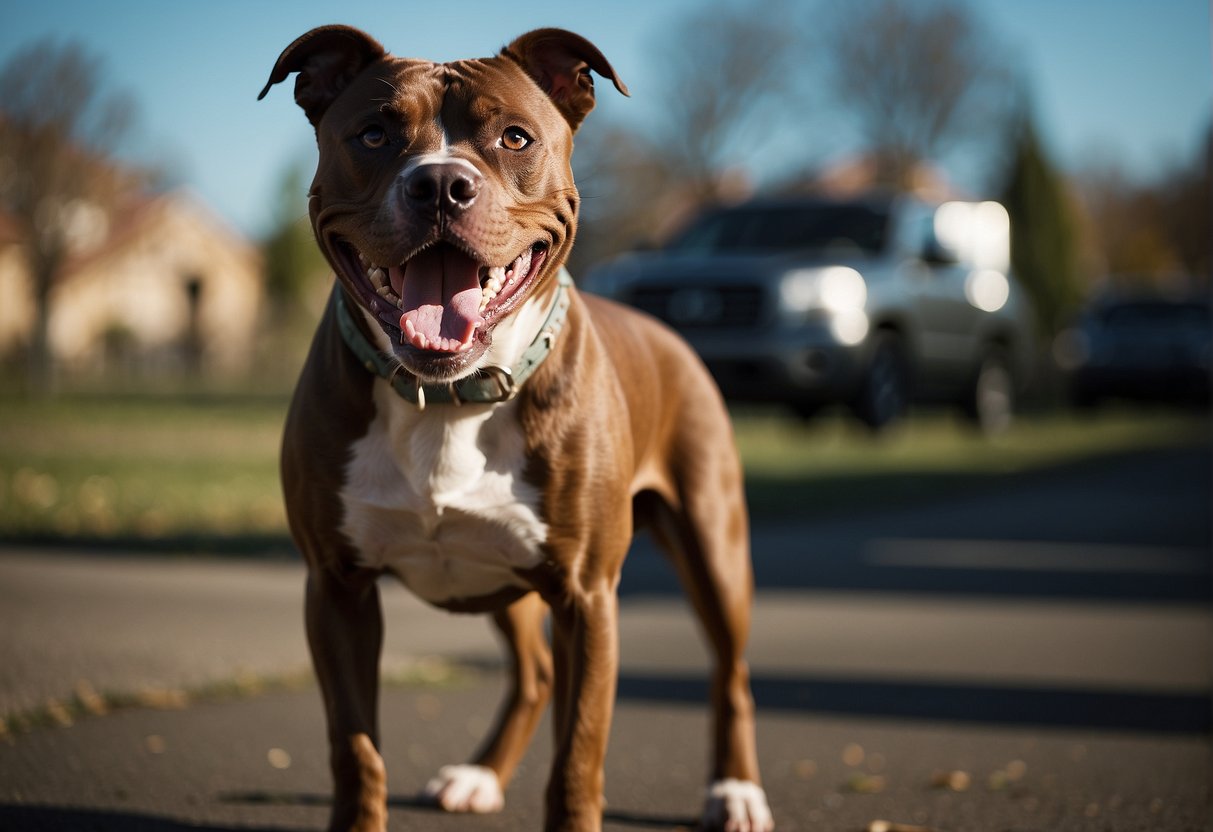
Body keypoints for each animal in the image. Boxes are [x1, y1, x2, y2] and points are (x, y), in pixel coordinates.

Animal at [259, 24, 771, 832]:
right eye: (372, 134)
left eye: (515, 137)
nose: (440, 184)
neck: (447, 399)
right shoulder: (336, 587)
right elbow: (356, 749)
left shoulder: (588, 596)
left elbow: (578, 757)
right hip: (502, 580)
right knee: (533, 673)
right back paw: (479, 775)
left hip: (711, 543)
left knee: (730, 671)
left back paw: (736, 790)